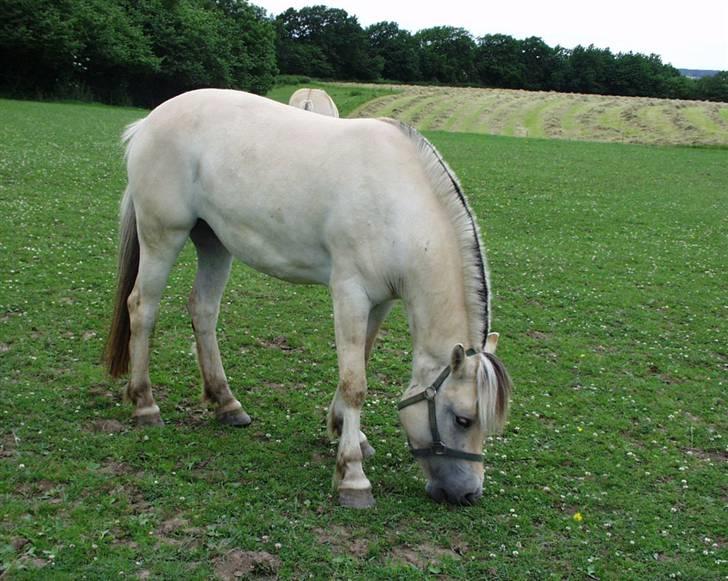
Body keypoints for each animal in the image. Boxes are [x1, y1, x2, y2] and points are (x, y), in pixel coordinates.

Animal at [104, 87, 512, 508]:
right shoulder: (349, 293)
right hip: (163, 236)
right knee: (142, 308)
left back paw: (227, 403)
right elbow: (355, 383)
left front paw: (347, 432)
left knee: (202, 310)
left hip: (214, 241)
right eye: (463, 419)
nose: (468, 493)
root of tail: (148, 122)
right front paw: (352, 477)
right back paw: (145, 404)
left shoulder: (381, 302)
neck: (398, 204)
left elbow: (361, 360)